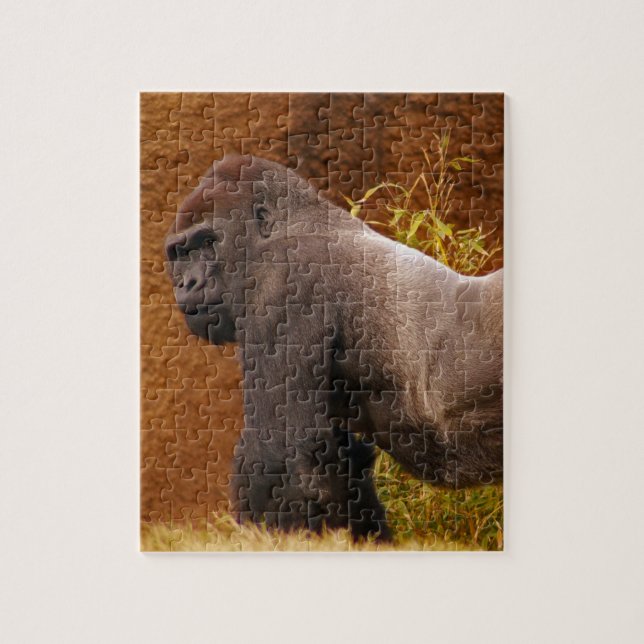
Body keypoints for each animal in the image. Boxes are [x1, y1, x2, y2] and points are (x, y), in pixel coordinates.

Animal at [165, 155, 503, 540]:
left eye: (208, 242)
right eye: (180, 253)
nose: (187, 283)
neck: (296, 224)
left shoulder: (283, 284)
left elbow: (280, 452)